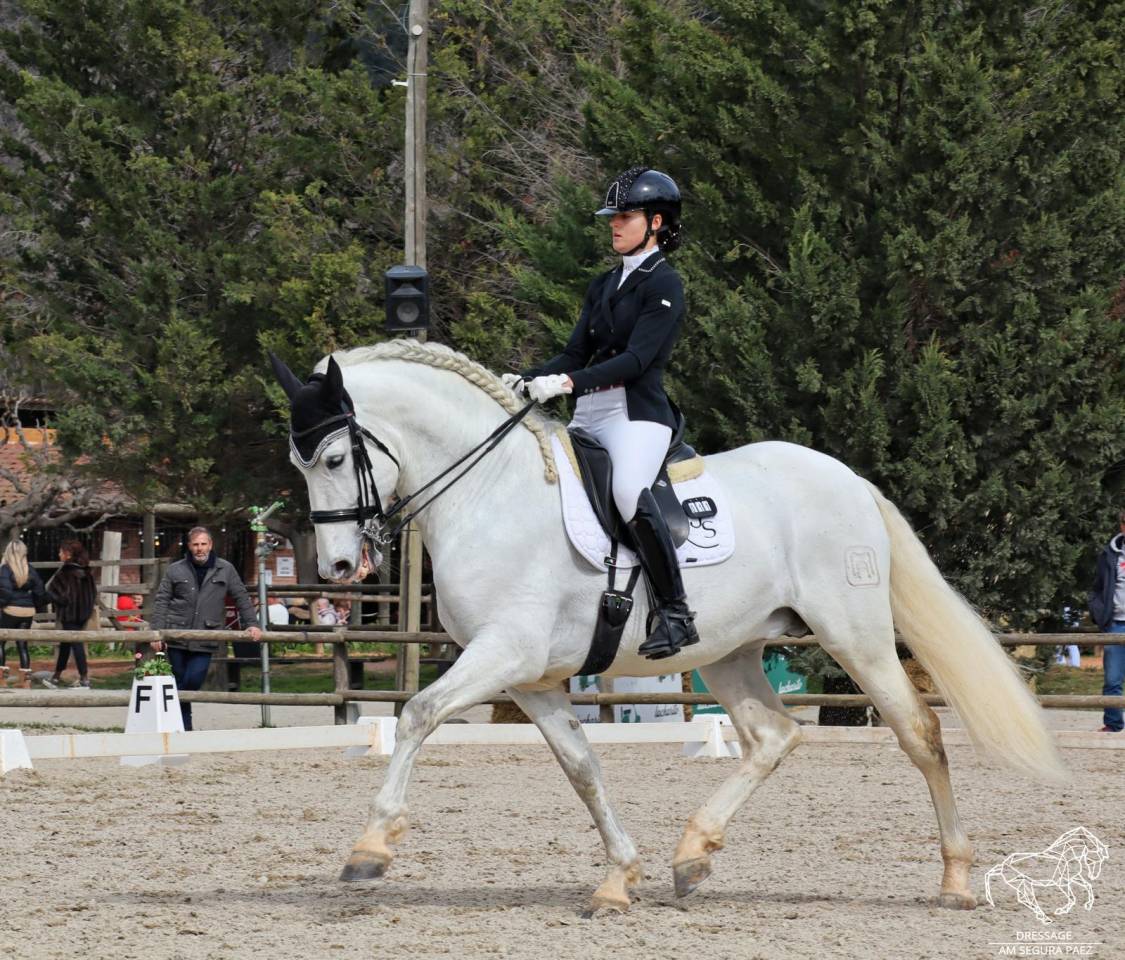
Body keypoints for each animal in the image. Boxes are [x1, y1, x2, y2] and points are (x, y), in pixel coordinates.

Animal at [270, 339, 1066, 916]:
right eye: (299, 462)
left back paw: (955, 881)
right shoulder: (531, 680)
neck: (489, 493)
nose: (338, 566)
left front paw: (370, 848)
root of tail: (849, 479)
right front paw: (619, 879)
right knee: (774, 736)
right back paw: (692, 856)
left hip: (855, 636)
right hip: (730, 650)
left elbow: (417, 713)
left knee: (918, 732)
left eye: (335, 457)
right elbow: (582, 768)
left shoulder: (505, 654)